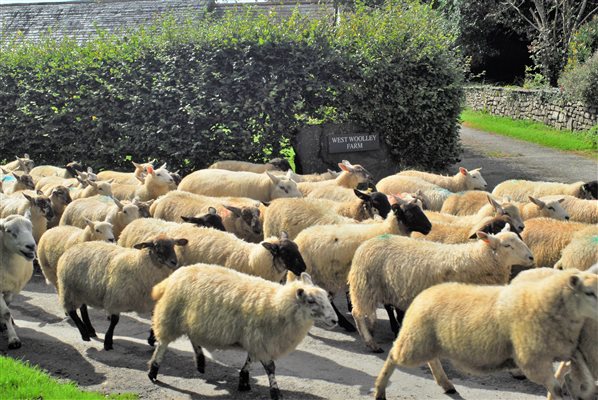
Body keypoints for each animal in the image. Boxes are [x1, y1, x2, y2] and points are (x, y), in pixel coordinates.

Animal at [0, 214, 36, 348]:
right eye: (9, 231)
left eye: (31, 227)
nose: (31, 246)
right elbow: (6, 312)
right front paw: (13, 339)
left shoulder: (10, 288)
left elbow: (7, 306)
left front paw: (3, 324)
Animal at [56, 234, 188, 350]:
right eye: (156, 246)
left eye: (174, 245)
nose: (174, 262)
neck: (138, 264)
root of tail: (72, 248)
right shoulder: (116, 299)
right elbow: (114, 321)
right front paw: (108, 342)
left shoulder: (152, 302)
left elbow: (153, 319)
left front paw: (152, 338)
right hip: (69, 289)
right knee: (72, 312)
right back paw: (84, 334)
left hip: (82, 291)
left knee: (83, 309)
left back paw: (91, 330)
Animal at [147, 264, 338, 398]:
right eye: (311, 301)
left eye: (326, 297)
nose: (335, 320)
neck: (277, 304)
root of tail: (174, 275)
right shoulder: (261, 340)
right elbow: (270, 367)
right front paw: (275, 392)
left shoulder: (255, 340)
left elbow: (250, 361)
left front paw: (244, 381)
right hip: (170, 316)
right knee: (163, 344)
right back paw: (153, 371)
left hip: (191, 321)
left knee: (193, 338)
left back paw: (200, 362)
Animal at [350, 227, 536, 352]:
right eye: (507, 245)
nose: (531, 257)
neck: (478, 258)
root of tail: (366, 243)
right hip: (365, 285)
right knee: (357, 313)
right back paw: (370, 342)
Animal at [376, 268, 598, 400]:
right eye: (589, 292)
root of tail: (424, 294)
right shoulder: (532, 360)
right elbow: (557, 387)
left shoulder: (568, 350)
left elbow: (579, 371)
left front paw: (582, 388)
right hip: (415, 341)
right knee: (393, 356)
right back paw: (380, 389)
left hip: (427, 341)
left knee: (432, 360)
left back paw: (446, 384)